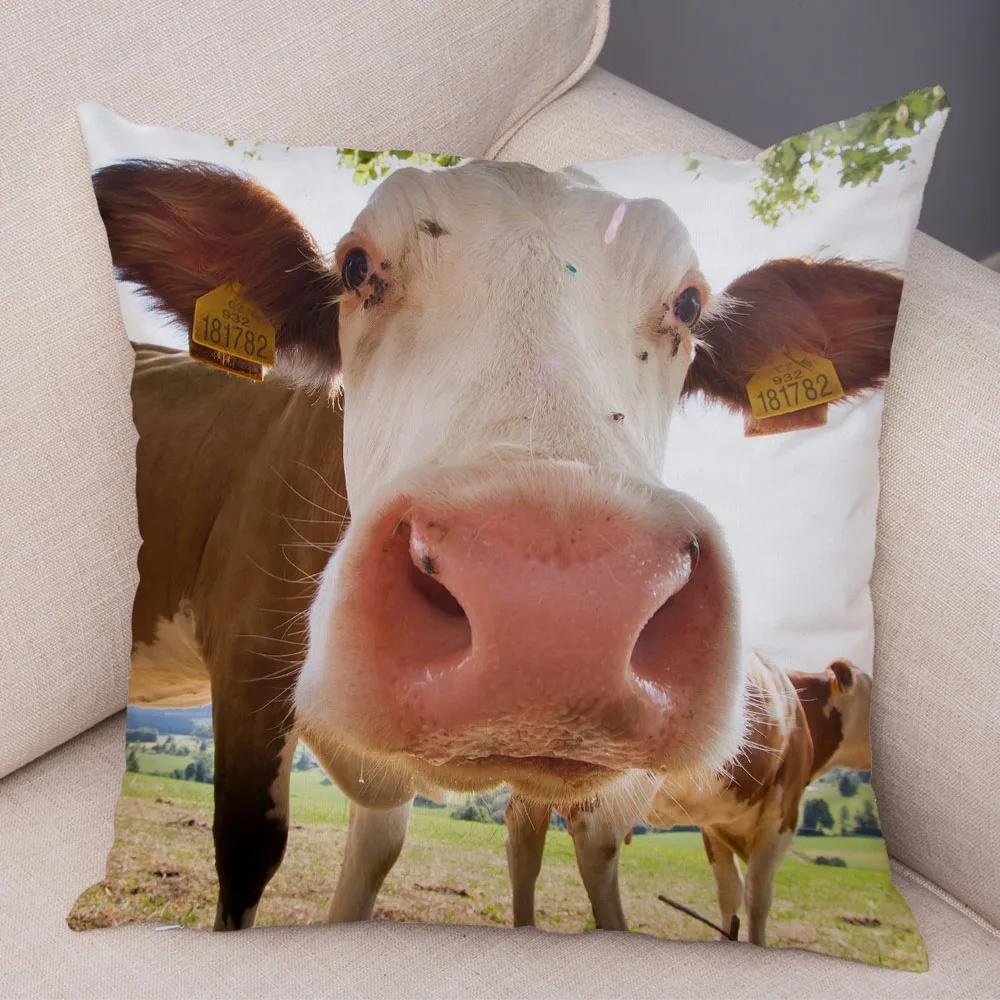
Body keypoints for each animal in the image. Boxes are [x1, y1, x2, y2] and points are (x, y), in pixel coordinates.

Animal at [505, 654, 873, 946]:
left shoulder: (714, 825)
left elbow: (729, 892)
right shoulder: (784, 812)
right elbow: (758, 895)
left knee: (523, 843)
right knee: (598, 844)